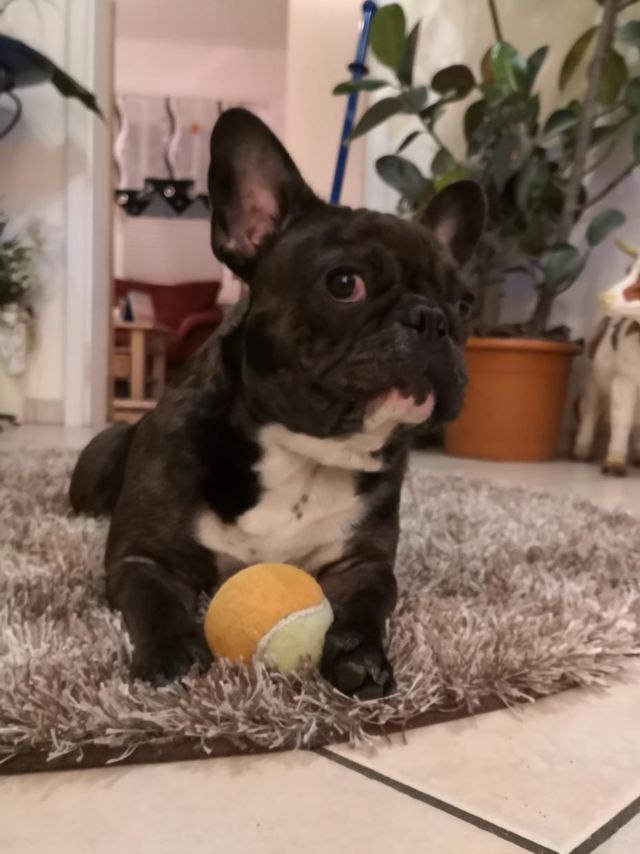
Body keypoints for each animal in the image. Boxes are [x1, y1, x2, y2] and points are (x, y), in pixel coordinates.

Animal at [70, 109, 485, 698]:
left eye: (465, 304)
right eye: (344, 283)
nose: (433, 318)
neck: (305, 451)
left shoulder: (364, 563)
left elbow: (367, 606)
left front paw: (360, 656)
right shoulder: (142, 557)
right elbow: (155, 603)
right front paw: (173, 655)